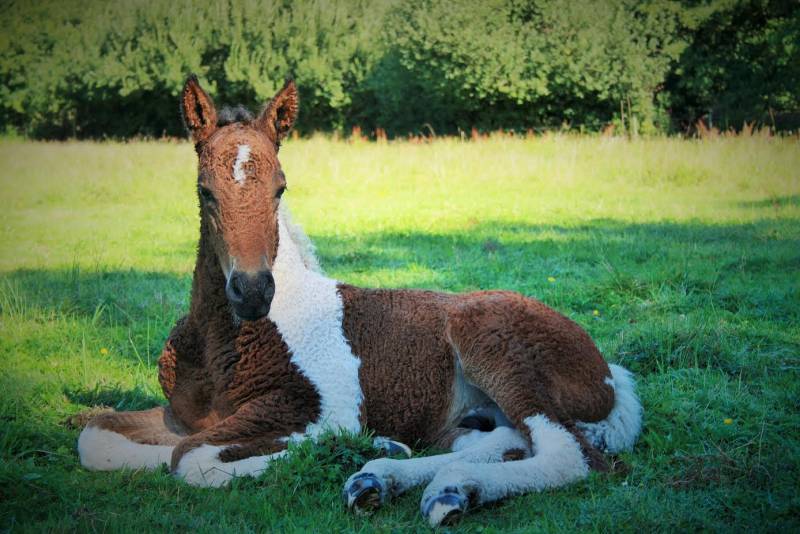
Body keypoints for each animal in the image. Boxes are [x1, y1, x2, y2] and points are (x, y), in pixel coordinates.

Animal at [79, 76, 644, 532]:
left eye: (280, 188)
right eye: (204, 190)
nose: (253, 290)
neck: (227, 346)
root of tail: (607, 372)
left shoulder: (311, 409)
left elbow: (191, 461)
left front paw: (372, 444)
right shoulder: (180, 416)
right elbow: (98, 438)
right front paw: (383, 451)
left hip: (492, 344)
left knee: (571, 454)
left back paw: (440, 486)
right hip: (484, 410)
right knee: (502, 439)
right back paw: (393, 481)